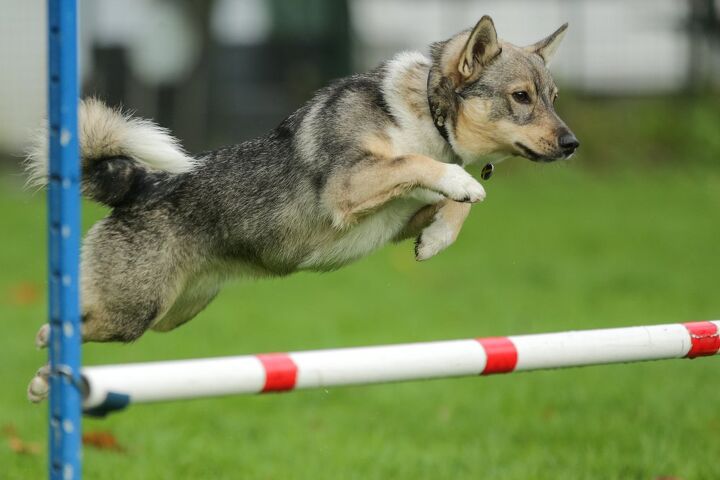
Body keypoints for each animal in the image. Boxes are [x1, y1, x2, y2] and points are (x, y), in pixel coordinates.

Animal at [28, 16, 576, 402]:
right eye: (520, 97)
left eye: (552, 97)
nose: (573, 144)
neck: (427, 114)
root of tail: (138, 183)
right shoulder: (348, 185)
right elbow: (422, 165)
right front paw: (461, 184)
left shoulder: (396, 216)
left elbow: (453, 203)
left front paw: (438, 237)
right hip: (134, 311)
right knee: (62, 323)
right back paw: (45, 374)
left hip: (173, 313)